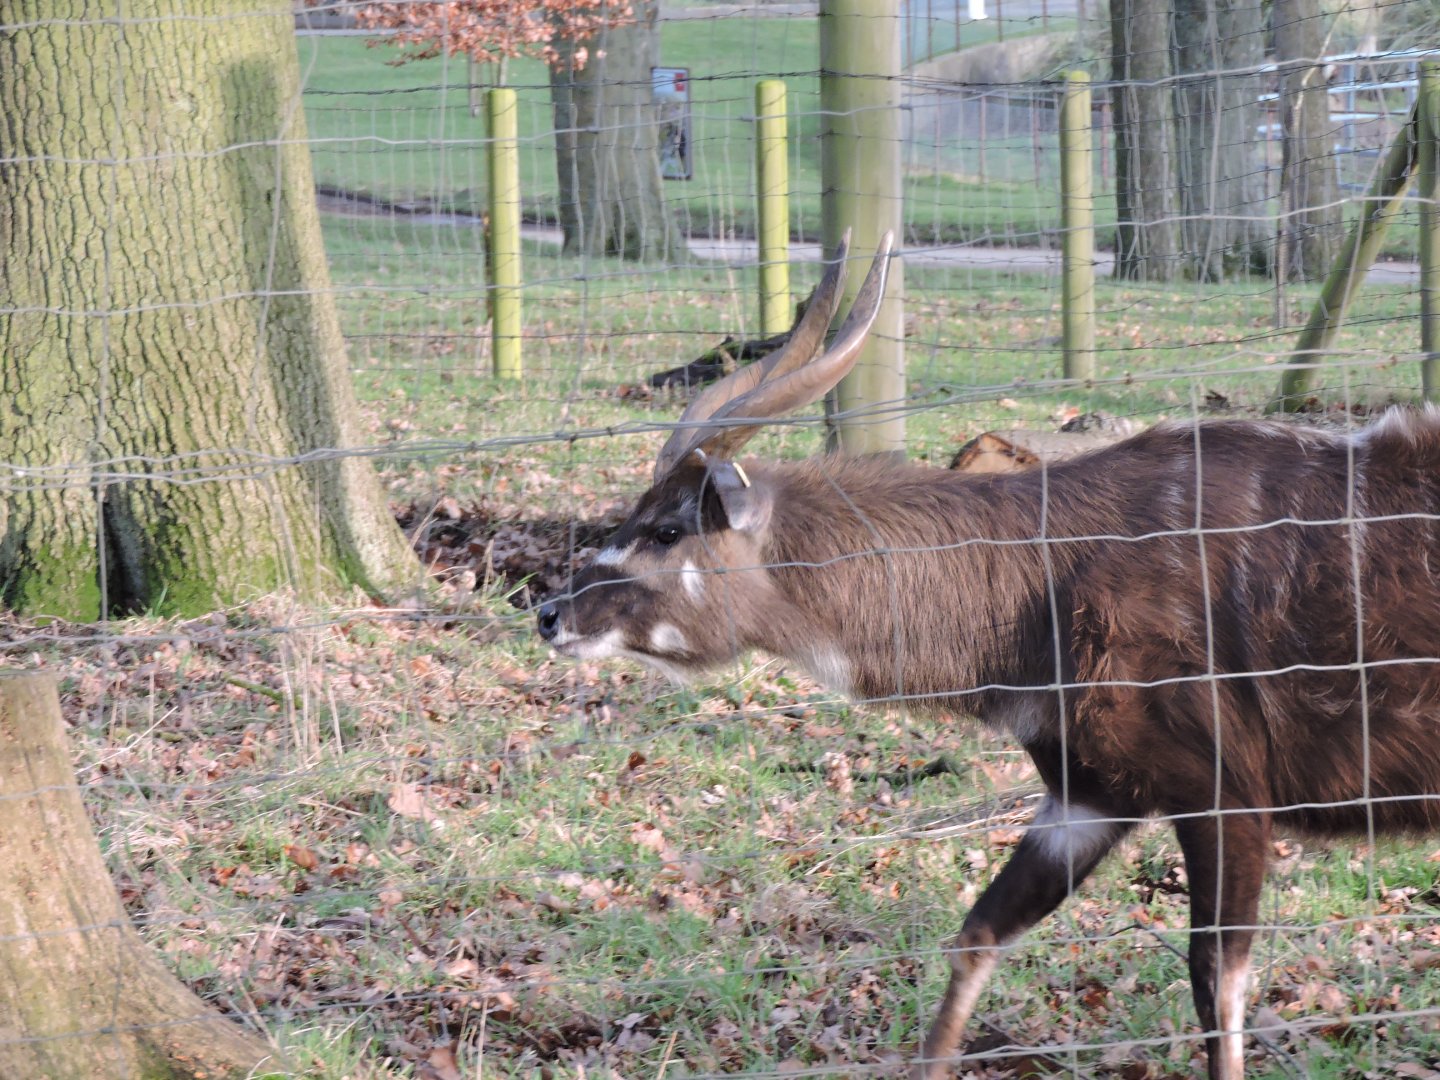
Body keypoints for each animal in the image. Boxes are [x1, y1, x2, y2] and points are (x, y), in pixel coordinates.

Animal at [535, 231, 1440, 1079]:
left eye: (665, 528)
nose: (548, 611)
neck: (1046, 577)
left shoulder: (1226, 799)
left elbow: (1217, 985)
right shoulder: (1088, 797)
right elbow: (976, 934)